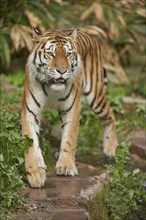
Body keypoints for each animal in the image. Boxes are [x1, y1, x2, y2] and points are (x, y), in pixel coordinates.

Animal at [21, 27, 118, 187]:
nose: (62, 71)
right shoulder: (30, 110)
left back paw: (110, 150)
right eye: (50, 53)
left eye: (68, 54)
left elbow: (69, 138)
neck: (52, 87)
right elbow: (31, 143)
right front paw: (35, 174)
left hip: (95, 95)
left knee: (110, 116)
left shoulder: (72, 109)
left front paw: (66, 166)